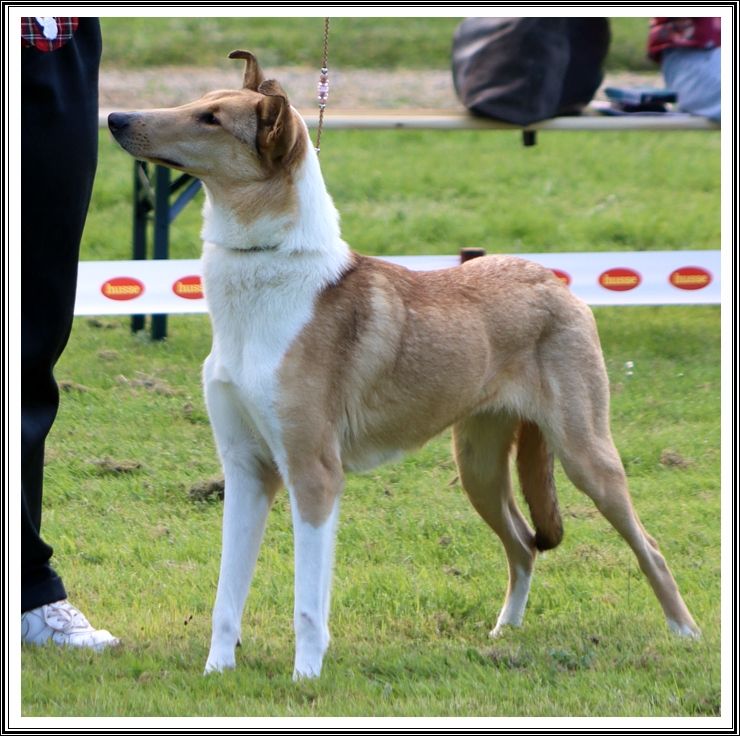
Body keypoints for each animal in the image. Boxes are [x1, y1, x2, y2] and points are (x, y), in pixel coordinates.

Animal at [110, 54, 700, 680]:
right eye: (200, 102)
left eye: (212, 119)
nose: (116, 118)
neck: (264, 289)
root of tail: (553, 280)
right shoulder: (247, 468)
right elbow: (227, 595)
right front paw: (217, 673)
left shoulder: (314, 472)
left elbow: (307, 602)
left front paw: (305, 678)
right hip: (479, 465)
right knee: (521, 544)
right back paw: (504, 632)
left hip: (586, 454)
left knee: (647, 548)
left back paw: (683, 632)